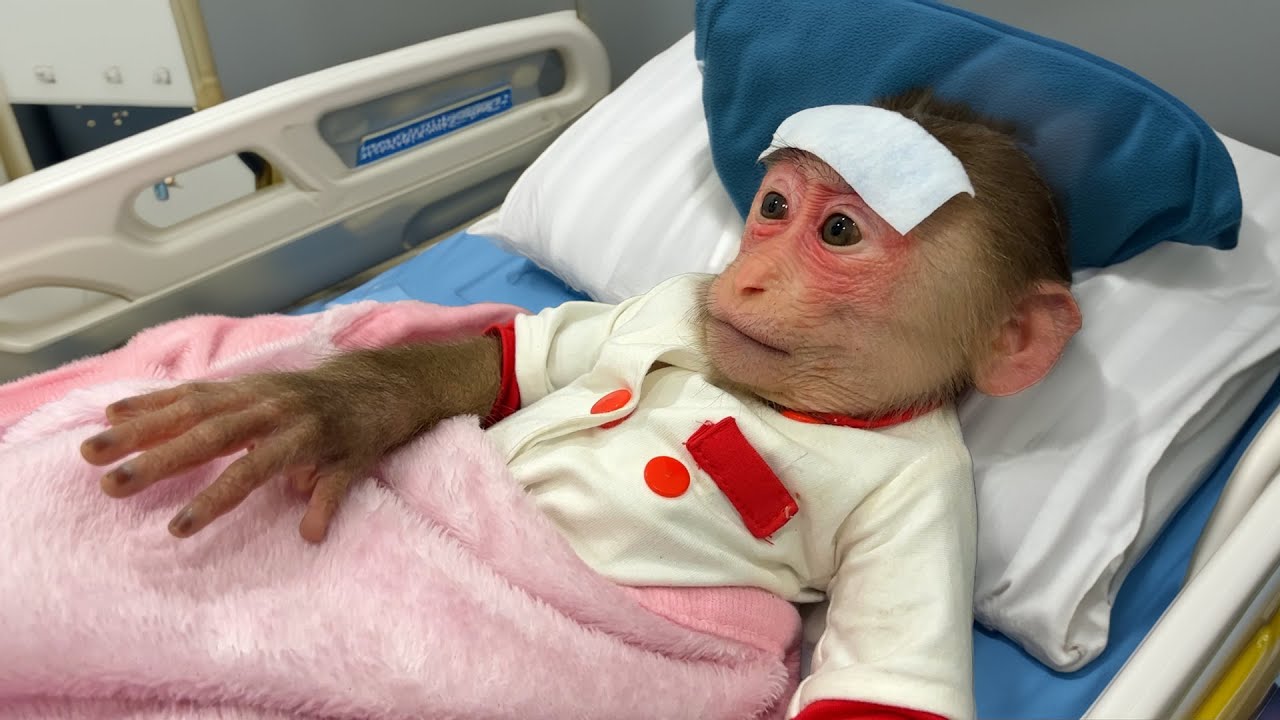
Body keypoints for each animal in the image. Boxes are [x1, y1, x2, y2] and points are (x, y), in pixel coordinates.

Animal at [79, 89, 1081, 720]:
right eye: (772, 206)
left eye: (838, 230)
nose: (746, 279)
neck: (806, 409)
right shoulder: (655, 307)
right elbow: (525, 358)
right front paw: (329, 406)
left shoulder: (926, 499)